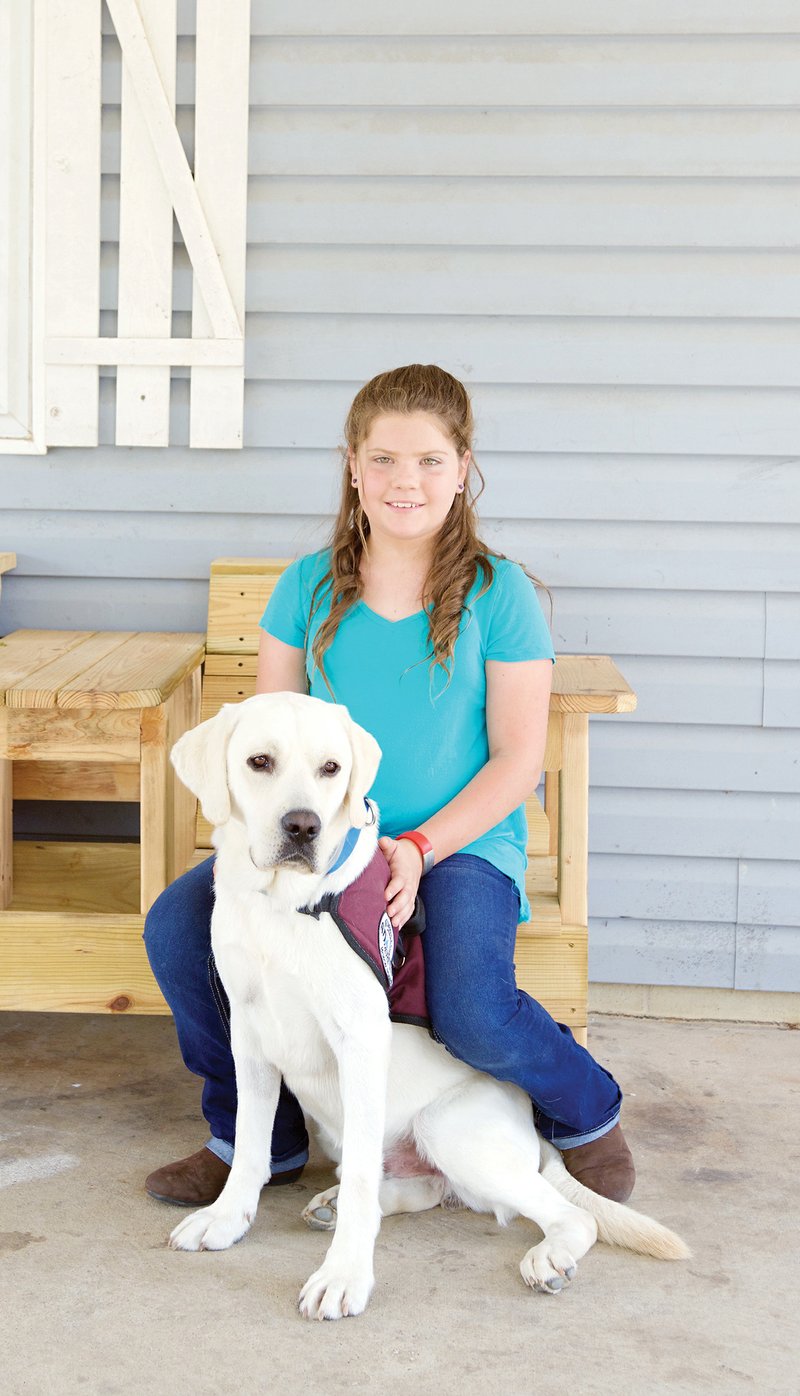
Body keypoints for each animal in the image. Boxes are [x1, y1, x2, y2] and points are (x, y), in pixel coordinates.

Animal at [166, 692, 686, 1323]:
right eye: (258, 762)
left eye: (331, 769)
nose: (303, 825)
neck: (283, 905)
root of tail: (533, 1136)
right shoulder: (249, 1031)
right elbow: (249, 1142)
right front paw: (228, 1218)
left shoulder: (360, 1040)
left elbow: (359, 1179)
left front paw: (344, 1276)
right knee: (423, 1188)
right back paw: (335, 1205)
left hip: (449, 1126)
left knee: (570, 1213)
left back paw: (549, 1257)